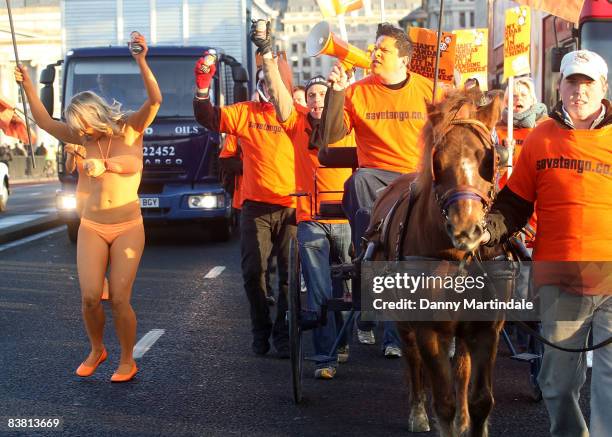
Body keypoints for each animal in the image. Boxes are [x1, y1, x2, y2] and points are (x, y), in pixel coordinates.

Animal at [364, 88, 512, 436]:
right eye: (438, 161)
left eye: (491, 160)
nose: (466, 229)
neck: (457, 259)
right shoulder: (427, 328)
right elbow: (442, 400)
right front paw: (436, 415)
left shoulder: (486, 327)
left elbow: (481, 399)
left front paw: (470, 420)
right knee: (413, 359)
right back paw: (418, 411)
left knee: (460, 368)